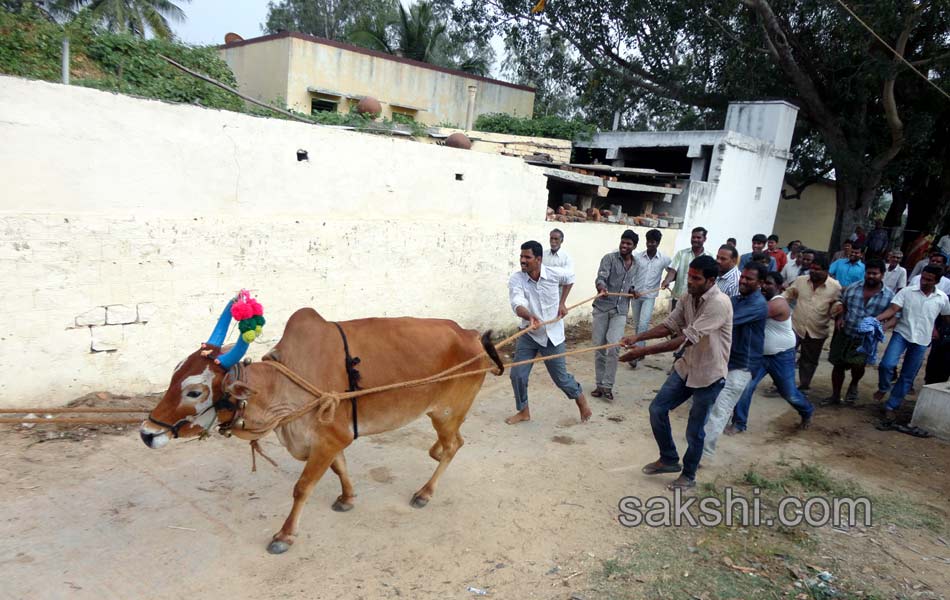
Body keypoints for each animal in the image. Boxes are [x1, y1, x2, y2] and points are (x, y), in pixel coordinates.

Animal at [141, 302, 506, 556]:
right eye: (173, 377)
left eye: (195, 391)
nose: (146, 433)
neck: (283, 387)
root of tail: (470, 333)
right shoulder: (327, 442)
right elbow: (339, 468)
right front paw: (347, 499)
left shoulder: (329, 438)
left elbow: (302, 487)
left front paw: (284, 535)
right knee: (450, 446)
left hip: (446, 413)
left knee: (453, 445)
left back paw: (425, 492)